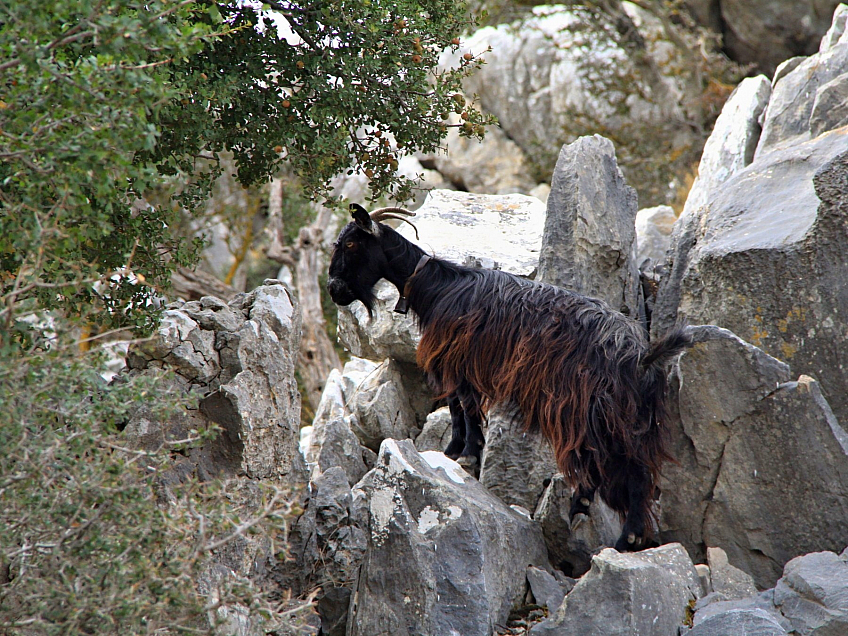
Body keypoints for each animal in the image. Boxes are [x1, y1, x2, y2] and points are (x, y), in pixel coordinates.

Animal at [328, 204, 692, 552]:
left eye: (351, 243)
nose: (334, 290)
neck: (439, 287)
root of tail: (642, 356)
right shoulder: (454, 365)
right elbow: (456, 407)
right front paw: (452, 451)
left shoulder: (461, 363)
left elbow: (465, 407)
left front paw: (467, 454)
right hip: (631, 421)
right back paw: (594, 515)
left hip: (600, 415)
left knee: (629, 471)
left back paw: (623, 537)